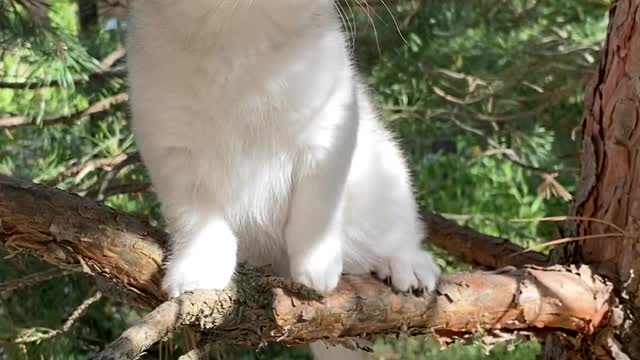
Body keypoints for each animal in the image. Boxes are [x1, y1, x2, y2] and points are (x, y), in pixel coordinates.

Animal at [126, 0, 440, 358]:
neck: (241, 34)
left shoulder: (328, 132)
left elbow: (315, 211)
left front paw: (315, 267)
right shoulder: (173, 150)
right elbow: (198, 219)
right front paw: (200, 267)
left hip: (387, 174)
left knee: (399, 228)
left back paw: (405, 263)